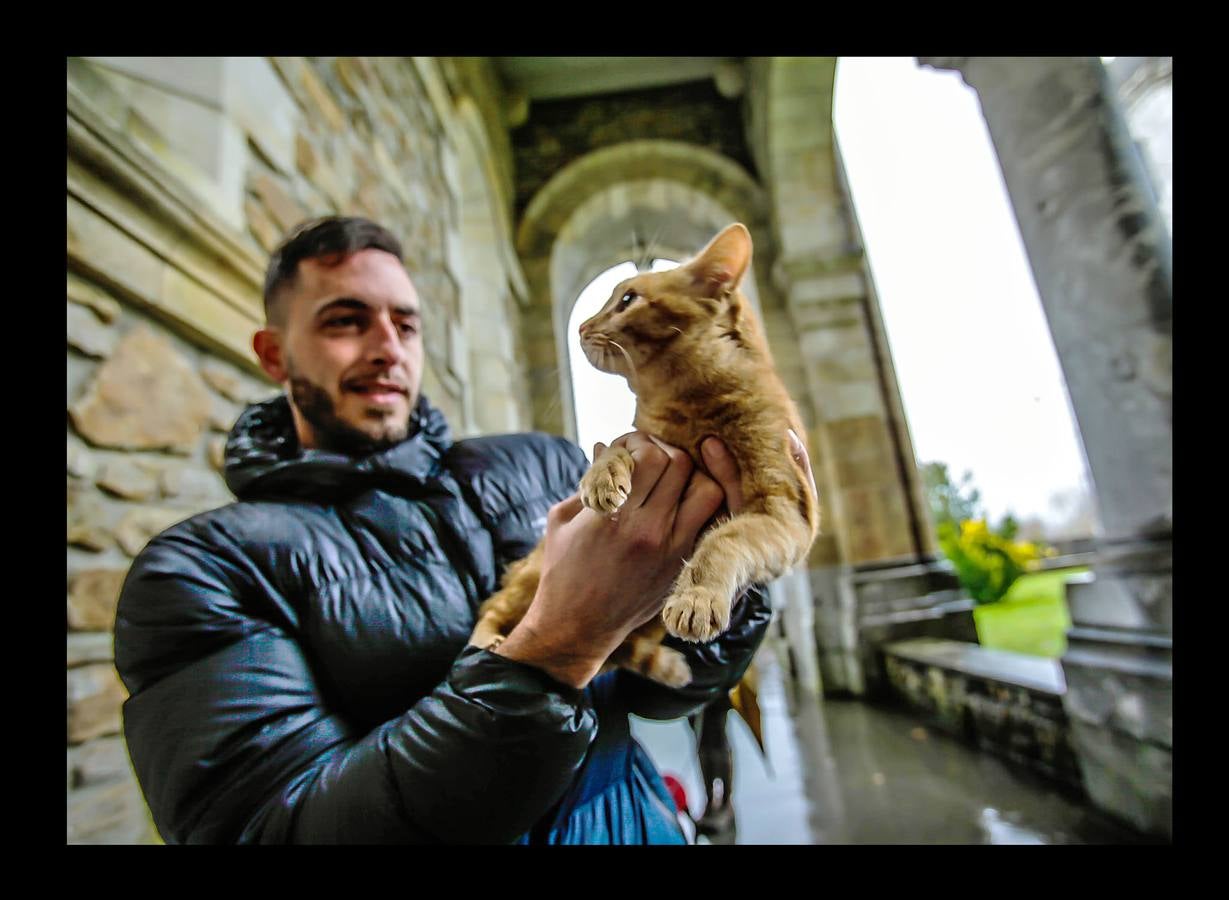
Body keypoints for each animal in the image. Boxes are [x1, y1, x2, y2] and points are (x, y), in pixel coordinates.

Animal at [467, 221, 816, 683]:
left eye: (628, 299)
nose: (581, 327)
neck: (689, 407)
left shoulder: (786, 514)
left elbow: (725, 539)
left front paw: (696, 597)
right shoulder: (643, 440)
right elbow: (614, 447)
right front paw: (601, 481)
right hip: (532, 574)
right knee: (493, 608)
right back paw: (486, 642)